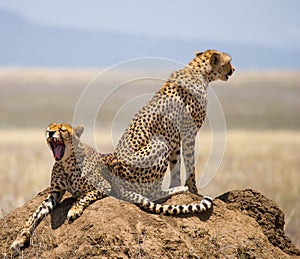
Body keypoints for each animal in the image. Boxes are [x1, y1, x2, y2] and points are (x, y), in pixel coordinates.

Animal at [11, 123, 213, 254]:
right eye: (49, 127)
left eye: (61, 129)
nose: (50, 132)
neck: (66, 162)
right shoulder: (54, 193)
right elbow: (33, 215)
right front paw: (19, 239)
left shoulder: (104, 187)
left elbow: (82, 197)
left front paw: (74, 210)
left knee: (155, 192)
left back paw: (181, 188)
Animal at [113, 49, 233, 194]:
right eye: (228, 62)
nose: (233, 69)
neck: (200, 74)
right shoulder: (189, 133)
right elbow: (190, 162)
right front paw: (193, 190)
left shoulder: (176, 136)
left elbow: (176, 163)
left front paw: (177, 184)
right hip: (159, 145)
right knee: (152, 193)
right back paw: (173, 191)